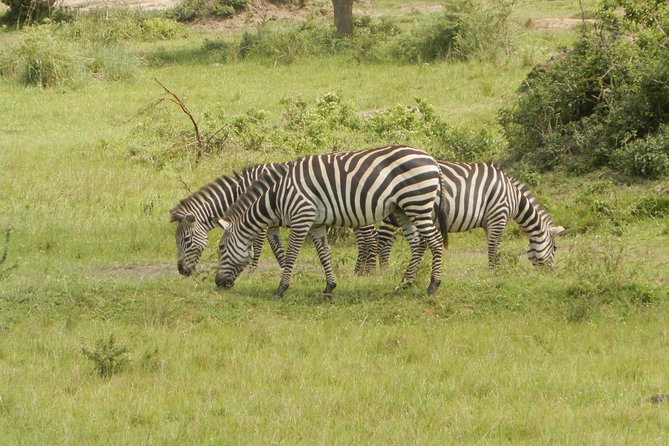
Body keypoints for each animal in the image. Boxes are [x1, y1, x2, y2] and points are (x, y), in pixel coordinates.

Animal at [169, 163, 380, 277]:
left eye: (186, 240)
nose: (181, 271)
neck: (239, 192)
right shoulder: (270, 226)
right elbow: (278, 251)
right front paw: (285, 269)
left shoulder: (259, 223)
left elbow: (256, 248)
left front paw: (251, 274)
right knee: (365, 239)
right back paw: (360, 271)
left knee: (370, 238)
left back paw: (369, 272)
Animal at [215, 145, 449, 299]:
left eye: (221, 248)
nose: (218, 283)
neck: (277, 195)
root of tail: (432, 159)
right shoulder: (316, 223)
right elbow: (324, 254)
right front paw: (329, 287)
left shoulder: (301, 217)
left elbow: (291, 256)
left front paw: (281, 289)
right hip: (403, 210)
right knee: (417, 243)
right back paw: (405, 284)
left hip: (417, 203)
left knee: (435, 241)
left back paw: (433, 286)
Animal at [375, 161, 565, 270]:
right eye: (555, 248)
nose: (550, 272)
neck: (514, 198)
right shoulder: (498, 215)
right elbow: (493, 246)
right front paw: (493, 273)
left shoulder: (489, 222)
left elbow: (494, 247)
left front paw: (497, 270)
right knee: (383, 239)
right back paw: (383, 273)